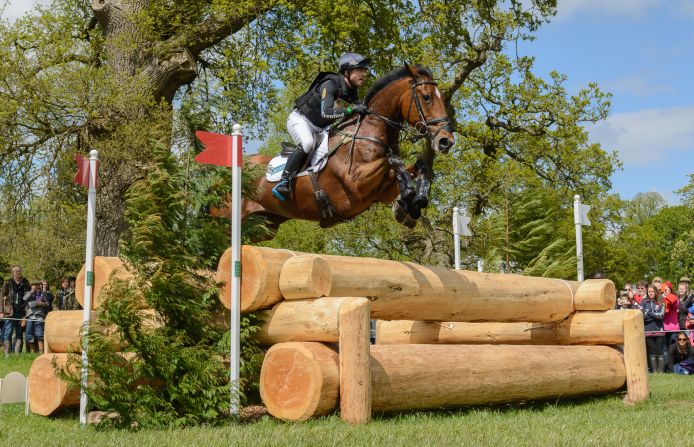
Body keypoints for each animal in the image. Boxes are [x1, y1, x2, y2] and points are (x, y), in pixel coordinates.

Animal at [234, 63, 454, 234]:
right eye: (426, 97)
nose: (446, 141)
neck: (369, 131)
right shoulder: (355, 184)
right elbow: (393, 160)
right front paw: (408, 195)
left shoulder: (380, 192)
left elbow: (418, 167)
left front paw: (413, 203)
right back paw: (281, 186)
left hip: (266, 225)